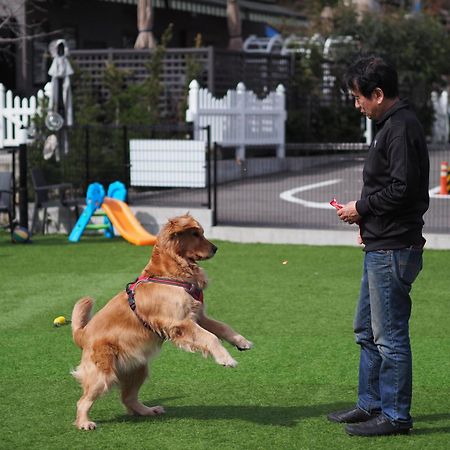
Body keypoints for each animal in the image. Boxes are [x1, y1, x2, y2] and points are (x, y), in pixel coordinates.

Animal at [71, 216, 253, 430]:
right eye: (195, 234)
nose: (216, 248)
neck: (170, 273)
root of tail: (82, 334)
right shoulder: (181, 323)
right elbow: (211, 338)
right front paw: (226, 359)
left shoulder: (198, 316)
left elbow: (223, 327)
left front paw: (242, 342)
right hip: (103, 374)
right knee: (83, 401)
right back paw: (84, 422)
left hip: (138, 368)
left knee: (128, 398)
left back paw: (148, 411)